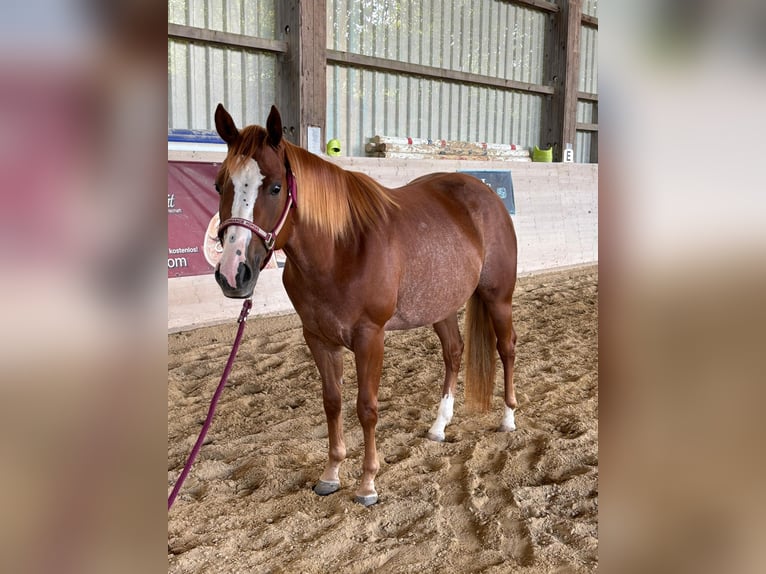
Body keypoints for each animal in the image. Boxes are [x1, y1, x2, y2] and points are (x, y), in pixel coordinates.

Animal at [212, 104, 518, 506]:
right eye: (220, 185)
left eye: (276, 186)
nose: (233, 274)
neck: (340, 248)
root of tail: (486, 194)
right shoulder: (318, 338)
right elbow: (333, 402)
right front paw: (331, 474)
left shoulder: (370, 338)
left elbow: (367, 407)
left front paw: (368, 483)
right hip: (441, 306)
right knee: (454, 352)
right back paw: (439, 426)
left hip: (499, 299)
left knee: (507, 348)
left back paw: (509, 418)